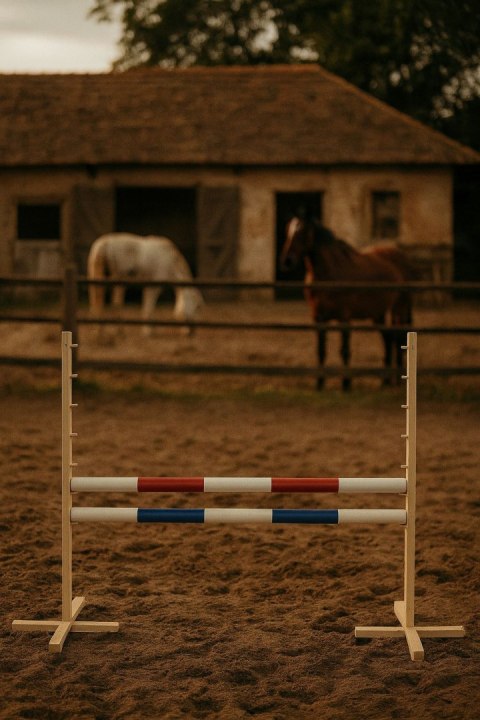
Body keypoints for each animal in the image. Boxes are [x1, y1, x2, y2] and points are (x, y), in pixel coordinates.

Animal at [279, 216, 416, 390]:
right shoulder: (319, 319)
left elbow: (344, 350)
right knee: (388, 339)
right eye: (287, 231)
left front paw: (346, 384)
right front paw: (320, 384)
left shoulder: (344, 318)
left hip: (399, 308)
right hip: (378, 314)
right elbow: (321, 351)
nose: (287, 261)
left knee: (398, 337)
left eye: (303, 231)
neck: (328, 274)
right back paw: (385, 381)